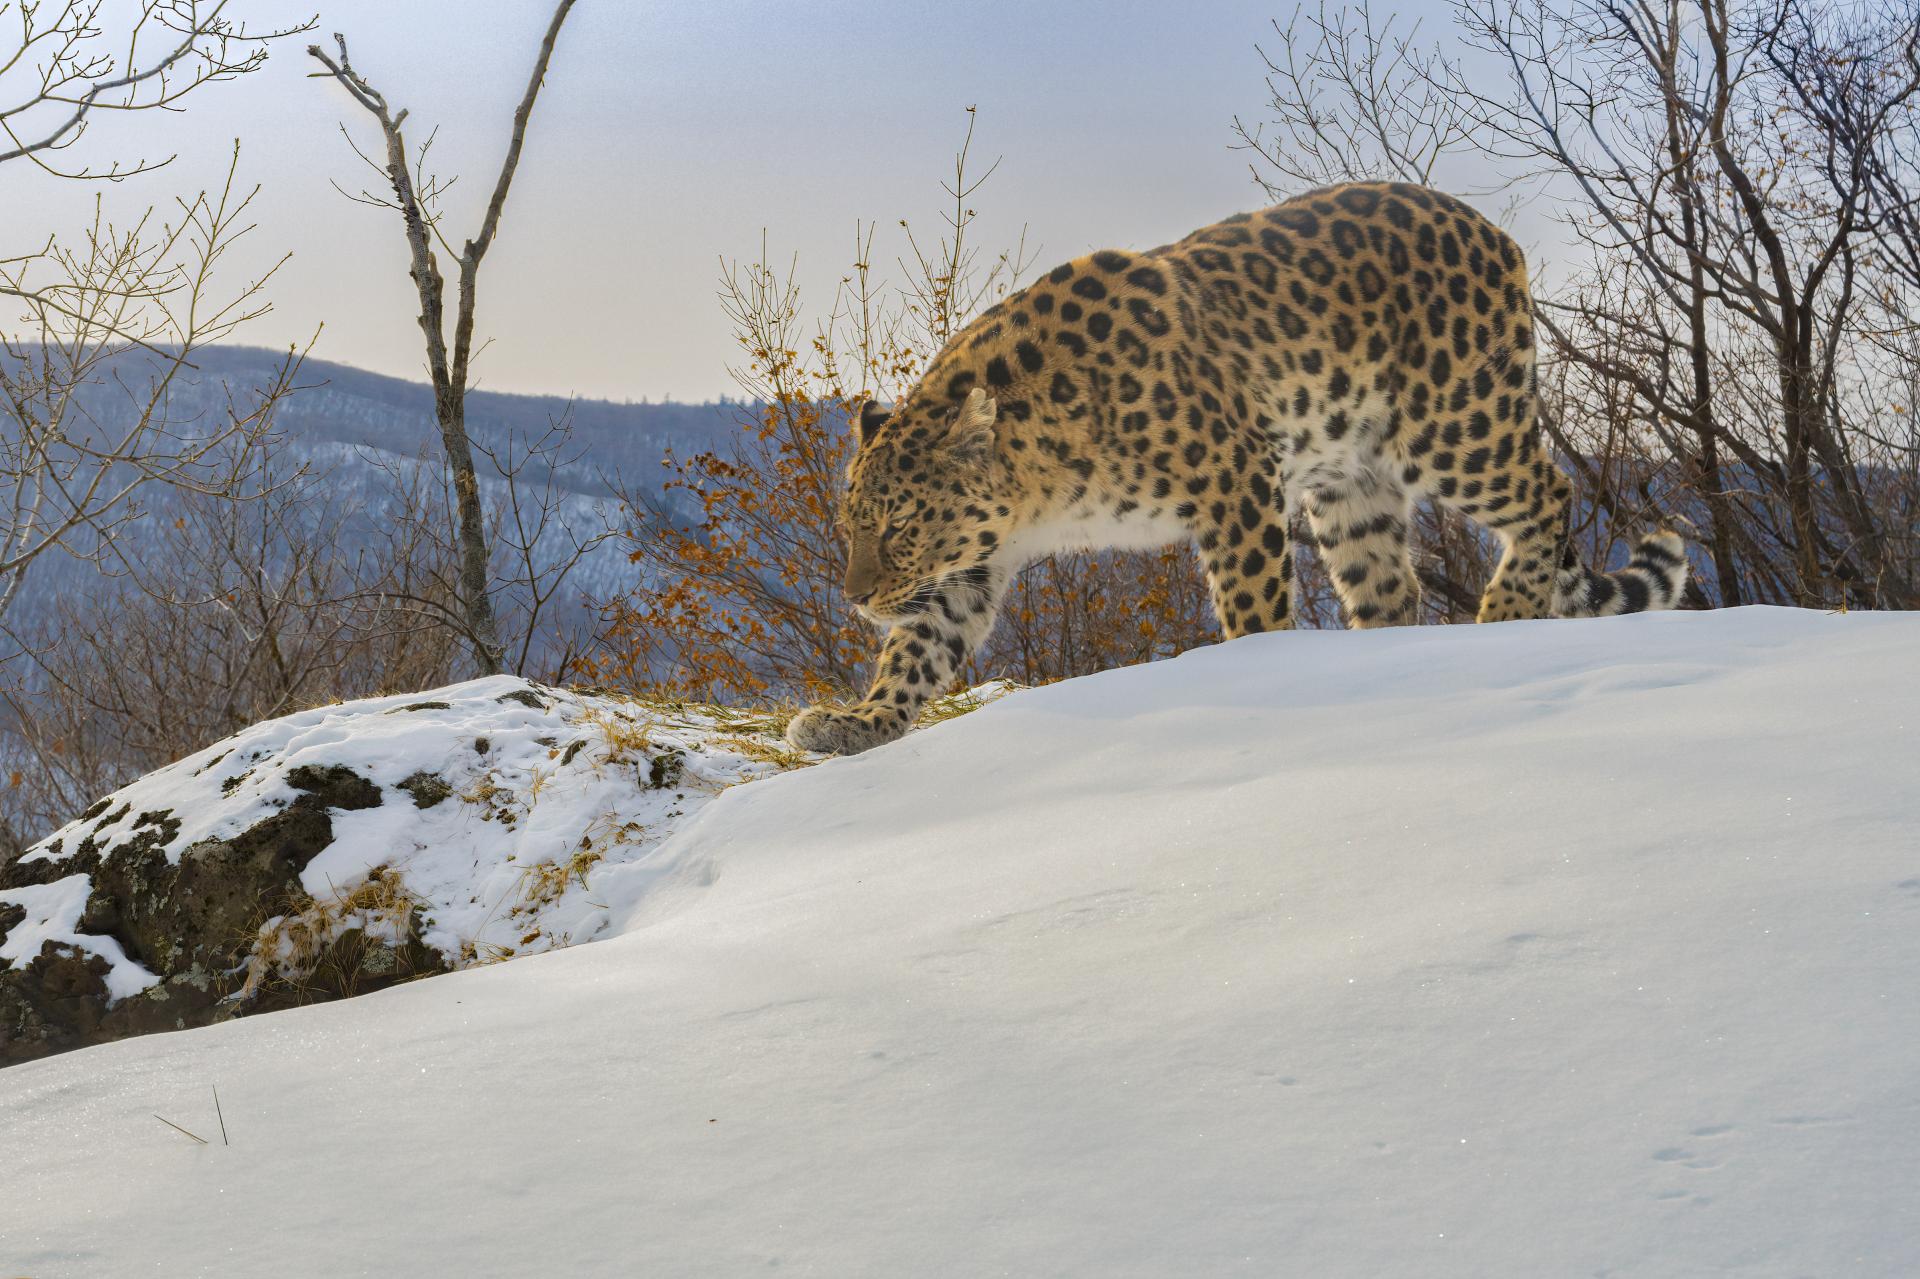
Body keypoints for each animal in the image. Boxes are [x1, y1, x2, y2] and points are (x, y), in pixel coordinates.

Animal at [787, 180, 1689, 756]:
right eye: (853, 526)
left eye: (902, 525)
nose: (857, 598)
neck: (1037, 485)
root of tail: (1491, 230)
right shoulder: (969, 565)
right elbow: (915, 651)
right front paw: (856, 723)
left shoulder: (1234, 476)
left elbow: (1252, 606)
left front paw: (1260, 673)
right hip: (1350, 488)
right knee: (1392, 589)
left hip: (1454, 425)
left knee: (1548, 490)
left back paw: (1506, 610)